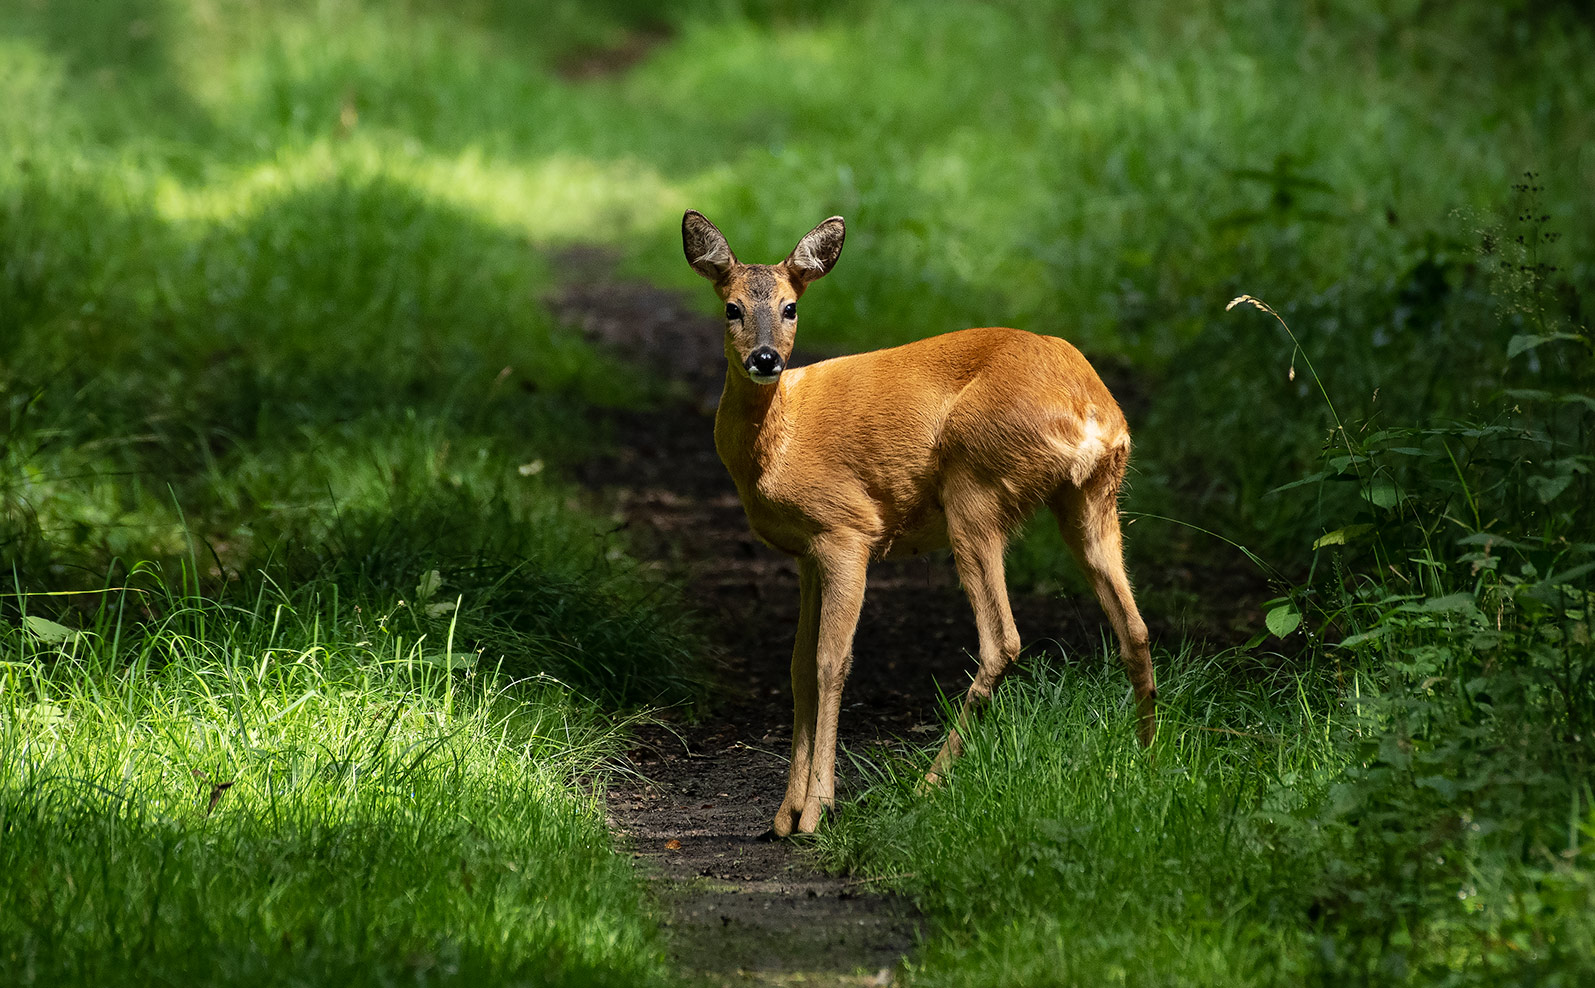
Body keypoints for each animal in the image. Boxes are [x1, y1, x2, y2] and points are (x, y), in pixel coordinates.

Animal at [679, 210, 1154, 836]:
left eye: (790, 307)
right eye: (731, 307)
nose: (765, 359)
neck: (775, 445)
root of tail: (1092, 411)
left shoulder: (847, 530)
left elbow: (831, 662)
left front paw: (815, 811)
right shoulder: (807, 554)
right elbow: (798, 665)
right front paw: (784, 814)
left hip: (975, 487)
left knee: (1003, 640)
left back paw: (925, 787)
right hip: (1092, 498)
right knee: (1134, 629)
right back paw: (1149, 764)